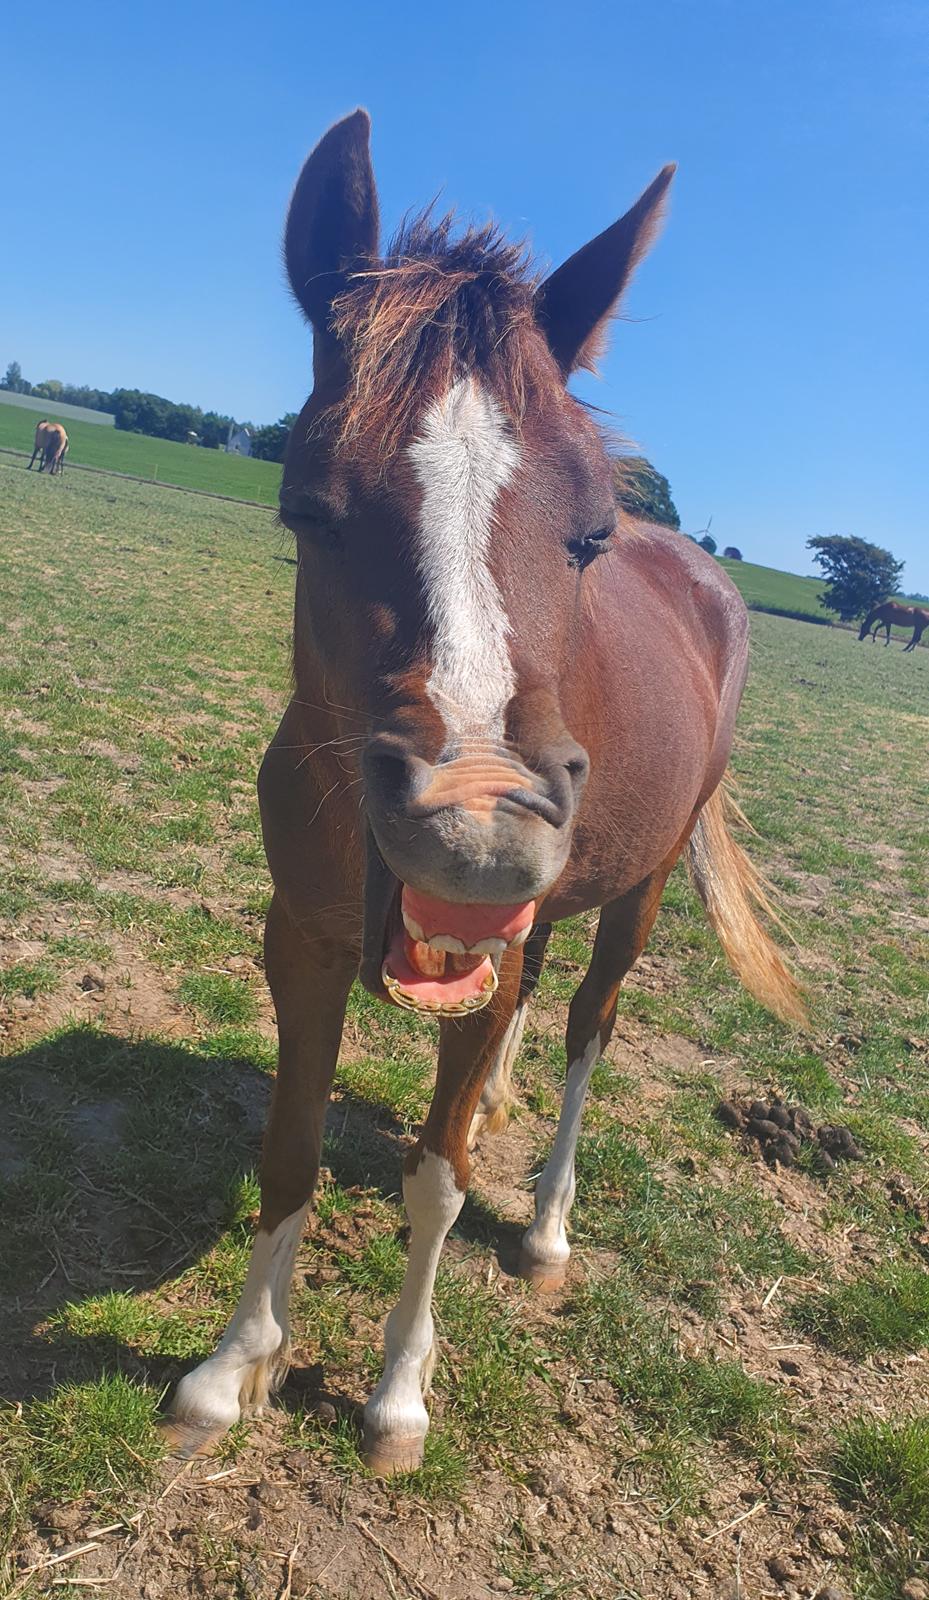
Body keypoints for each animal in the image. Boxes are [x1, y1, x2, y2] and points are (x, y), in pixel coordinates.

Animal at [166, 111, 803, 1473]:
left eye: (591, 532)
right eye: (307, 508)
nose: (476, 834)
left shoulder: (493, 944)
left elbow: (439, 1176)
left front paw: (398, 1394)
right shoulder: (300, 940)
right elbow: (290, 1148)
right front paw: (236, 1365)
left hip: (638, 888)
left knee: (586, 1026)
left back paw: (548, 1224)